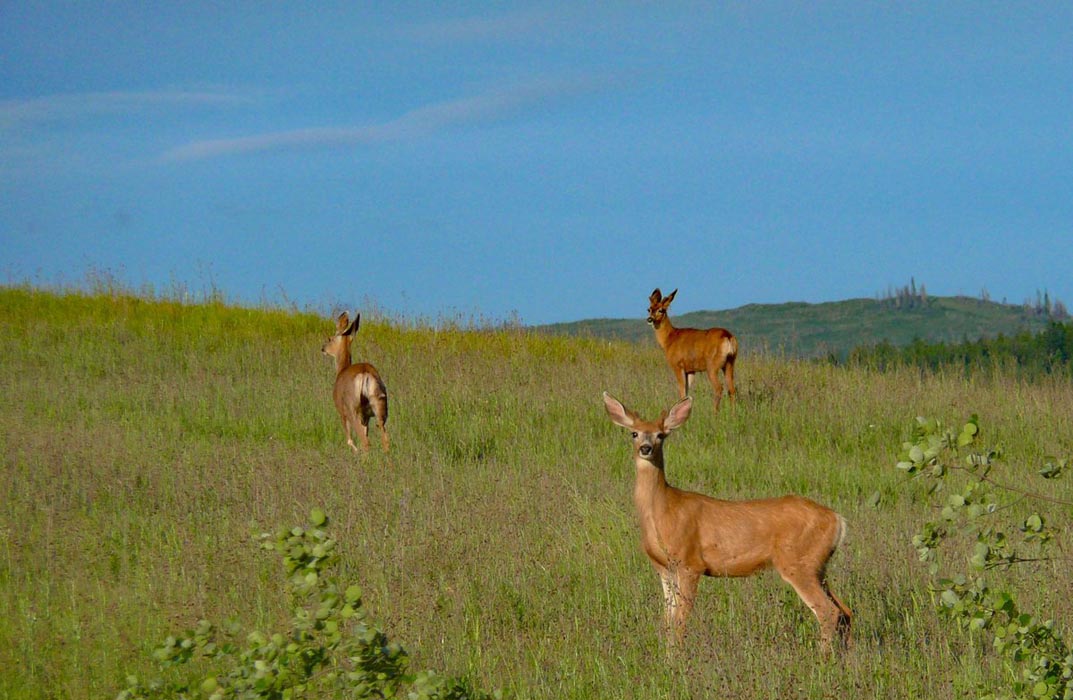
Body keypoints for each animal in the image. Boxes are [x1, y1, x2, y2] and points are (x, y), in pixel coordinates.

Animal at [319, 311, 392, 453]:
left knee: (365, 442)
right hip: (379, 407)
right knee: (385, 440)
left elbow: (349, 440)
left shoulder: (342, 412)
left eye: (330, 338)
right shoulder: (366, 417)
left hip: (353, 410)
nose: (323, 348)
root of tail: (365, 374)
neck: (341, 370)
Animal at [600, 390, 849, 648]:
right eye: (634, 433)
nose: (646, 448)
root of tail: (838, 520)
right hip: (817, 566)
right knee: (845, 610)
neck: (662, 511)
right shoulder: (663, 568)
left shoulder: (690, 563)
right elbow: (667, 621)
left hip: (798, 563)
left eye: (661, 435)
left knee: (829, 612)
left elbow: (680, 622)